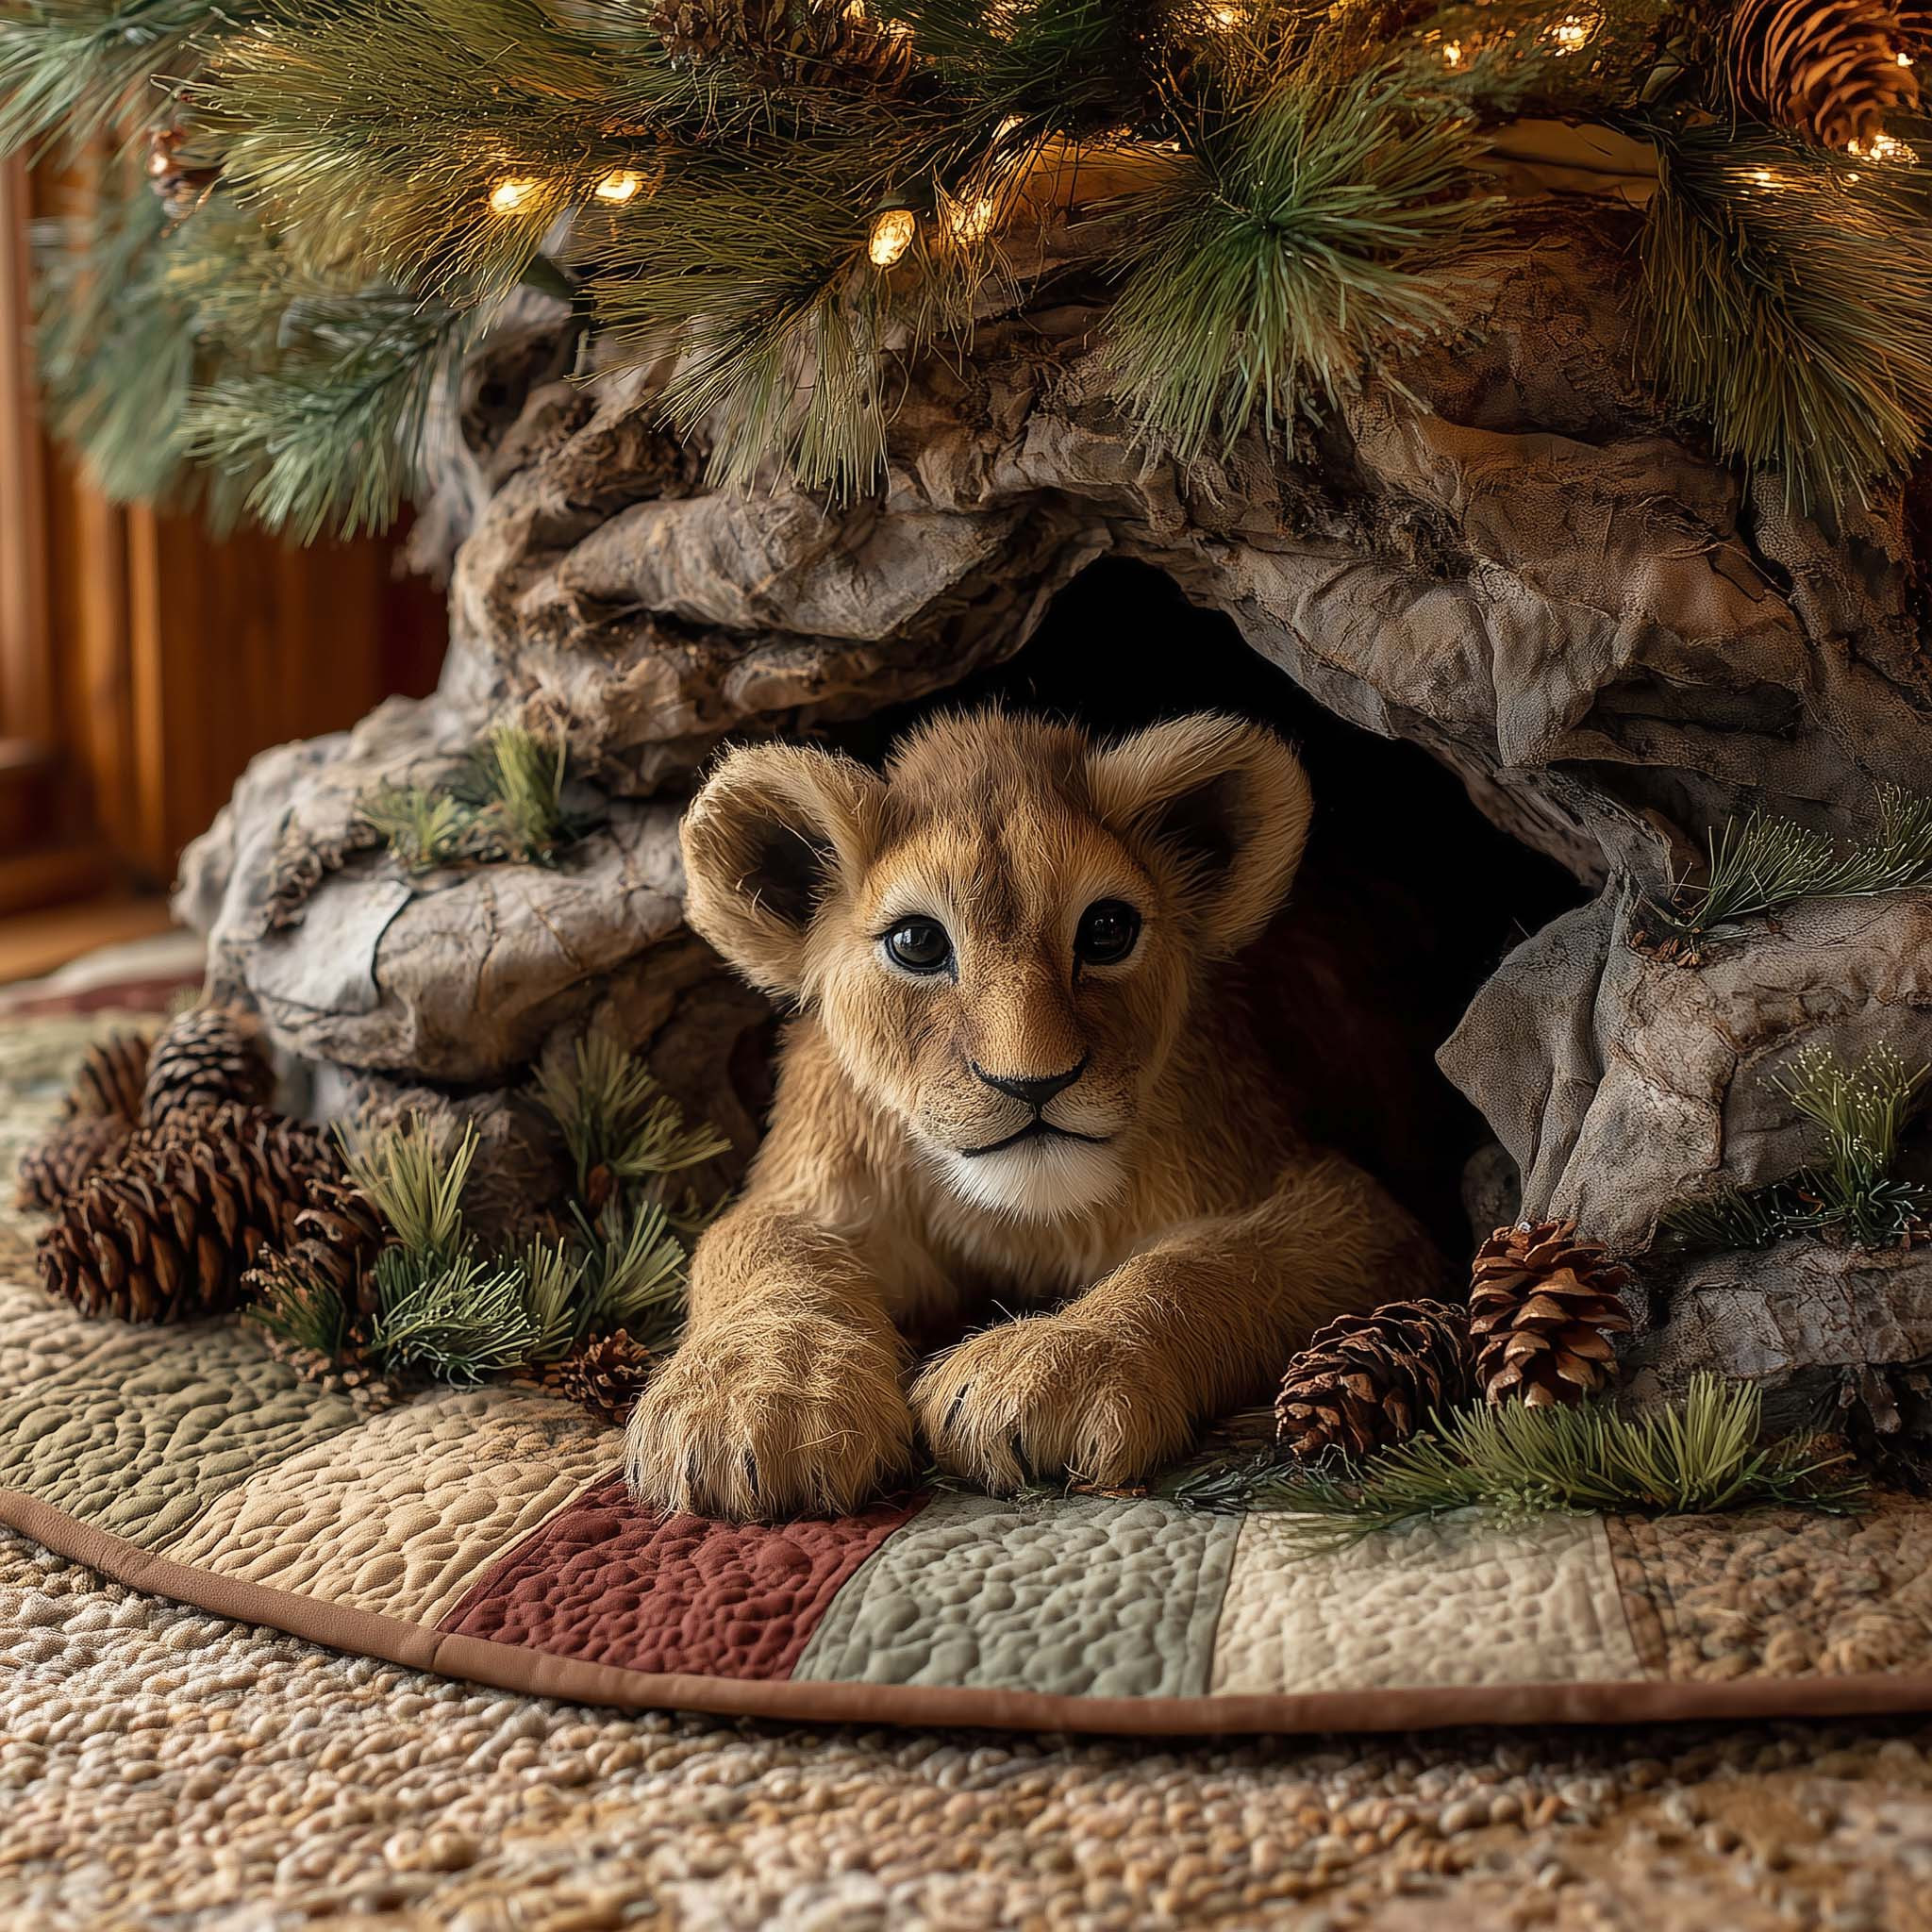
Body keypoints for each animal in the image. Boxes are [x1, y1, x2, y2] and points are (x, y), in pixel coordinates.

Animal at [625, 708, 1439, 1520]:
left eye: (1107, 930)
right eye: (918, 942)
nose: (1033, 1083)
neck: (1017, 1219)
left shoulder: (1347, 1212)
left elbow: (1205, 1264)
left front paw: (1045, 1372)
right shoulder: (817, 1182)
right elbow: (756, 1243)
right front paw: (757, 1400)